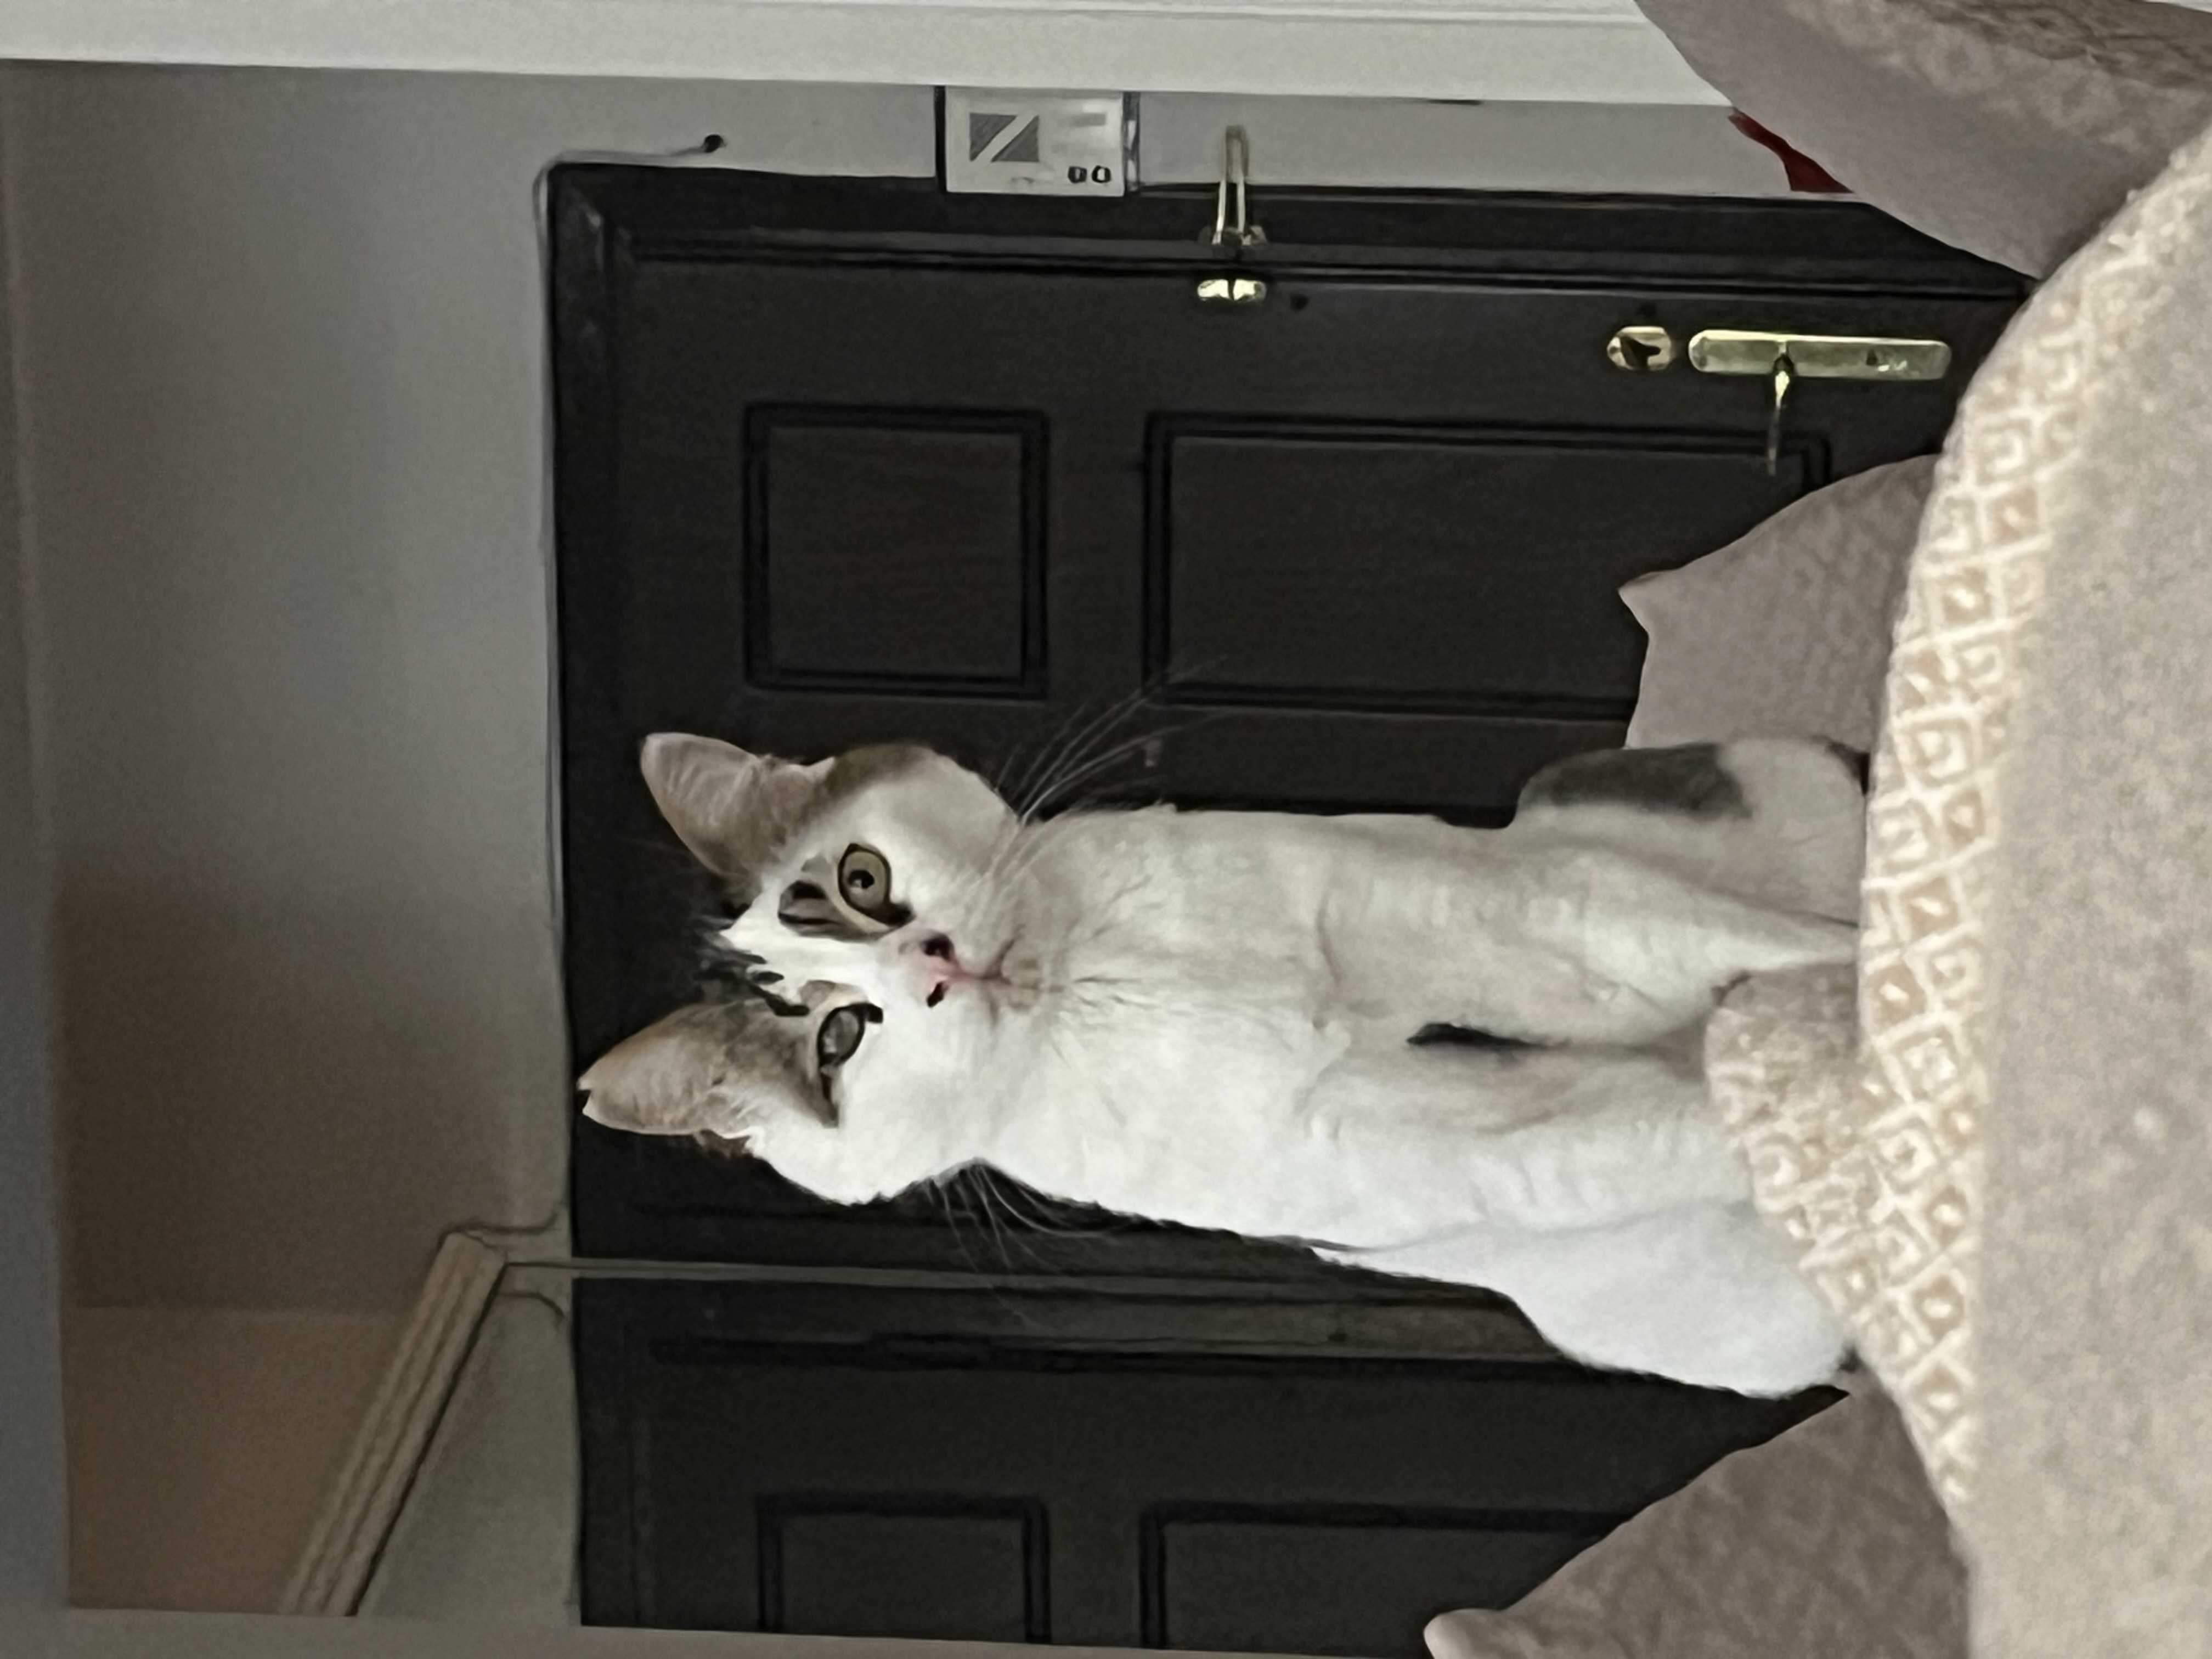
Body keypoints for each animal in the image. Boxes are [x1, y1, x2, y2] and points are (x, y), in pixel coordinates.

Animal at [579, 733, 1863, 1395]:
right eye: (840, 1037)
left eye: (859, 878)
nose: (932, 965)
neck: (1103, 985)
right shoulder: (1435, 1146)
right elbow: (1661, 1137)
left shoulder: (1513, 913)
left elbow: (1713, 940)